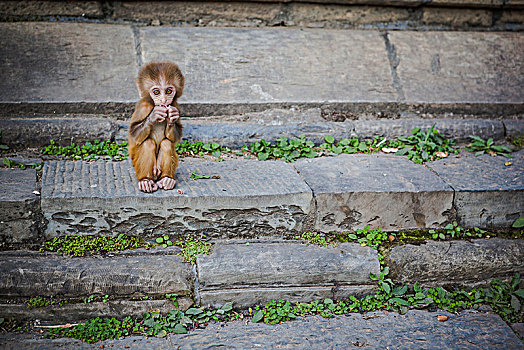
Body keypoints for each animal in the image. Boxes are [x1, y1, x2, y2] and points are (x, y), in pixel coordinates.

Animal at [128, 60, 184, 191]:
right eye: (156, 92)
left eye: (168, 91)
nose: (164, 100)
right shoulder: (143, 107)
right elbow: (134, 133)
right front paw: (153, 116)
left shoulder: (175, 105)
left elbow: (174, 137)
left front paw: (172, 118)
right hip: (135, 162)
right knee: (148, 143)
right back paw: (146, 180)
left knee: (166, 143)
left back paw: (166, 179)